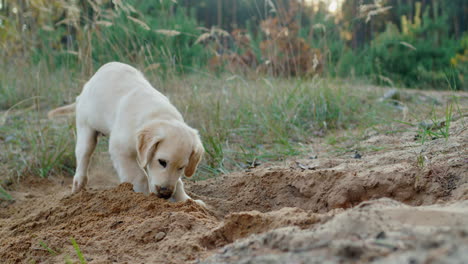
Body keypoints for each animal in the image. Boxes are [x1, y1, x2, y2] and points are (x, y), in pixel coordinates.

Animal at [48, 62, 207, 206]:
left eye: (182, 167)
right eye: (162, 162)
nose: (165, 194)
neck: (158, 114)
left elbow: (178, 183)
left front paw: (188, 201)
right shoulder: (121, 150)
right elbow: (139, 176)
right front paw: (144, 197)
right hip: (86, 128)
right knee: (83, 156)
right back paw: (78, 186)